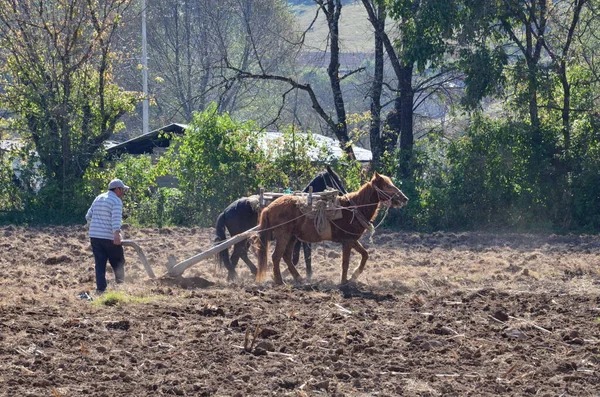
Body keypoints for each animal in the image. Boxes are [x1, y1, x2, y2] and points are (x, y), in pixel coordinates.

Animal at [255, 172, 410, 284]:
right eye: (387, 186)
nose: (404, 198)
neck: (354, 209)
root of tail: (269, 207)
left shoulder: (352, 240)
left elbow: (365, 254)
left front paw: (354, 276)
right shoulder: (347, 241)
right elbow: (345, 262)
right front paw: (343, 282)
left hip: (292, 237)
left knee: (286, 256)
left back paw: (298, 278)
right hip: (284, 236)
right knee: (276, 256)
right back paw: (279, 281)